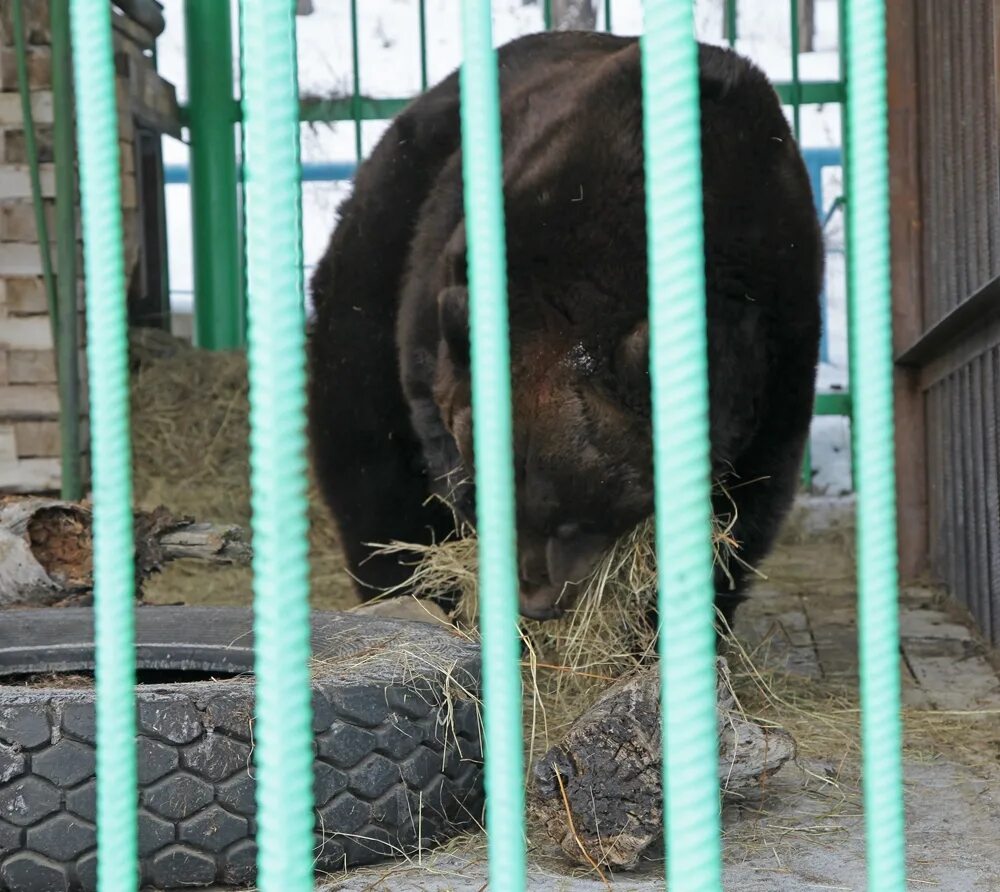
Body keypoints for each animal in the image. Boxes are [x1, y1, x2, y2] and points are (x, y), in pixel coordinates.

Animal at [304, 31, 820, 624]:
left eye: (572, 512)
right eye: (497, 491)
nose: (534, 600)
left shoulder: (778, 324)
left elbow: (745, 503)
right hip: (376, 259)